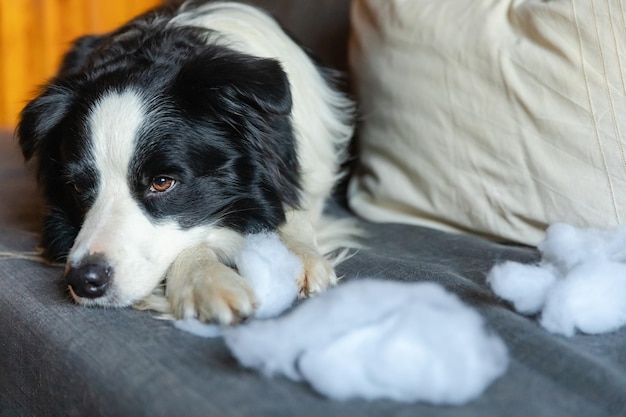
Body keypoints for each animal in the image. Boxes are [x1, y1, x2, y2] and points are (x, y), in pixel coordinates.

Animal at [18, 0, 356, 324]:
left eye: (162, 182)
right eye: (76, 187)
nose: (84, 280)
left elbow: (294, 214)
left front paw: (298, 255)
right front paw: (207, 280)